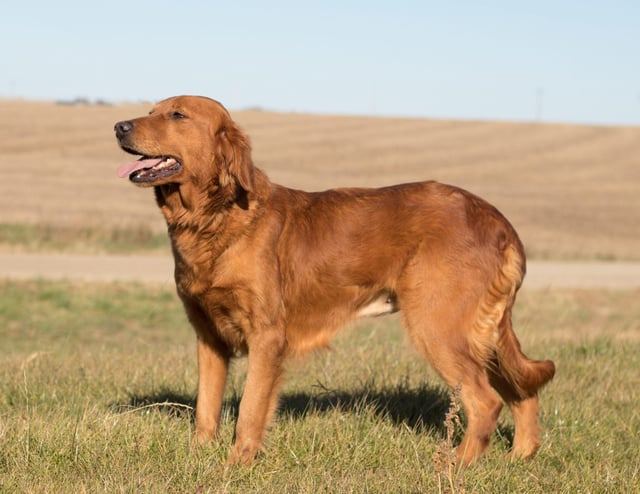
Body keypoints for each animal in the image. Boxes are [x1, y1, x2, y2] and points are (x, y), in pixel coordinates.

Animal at [115, 94, 556, 466]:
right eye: (152, 110)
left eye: (177, 115)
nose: (119, 125)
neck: (214, 217)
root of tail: (499, 222)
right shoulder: (209, 337)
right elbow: (206, 409)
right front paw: (198, 457)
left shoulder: (266, 336)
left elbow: (249, 411)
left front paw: (236, 465)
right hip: (481, 333)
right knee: (522, 392)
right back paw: (520, 457)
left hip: (439, 326)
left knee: (486, 401)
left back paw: (455, 466)